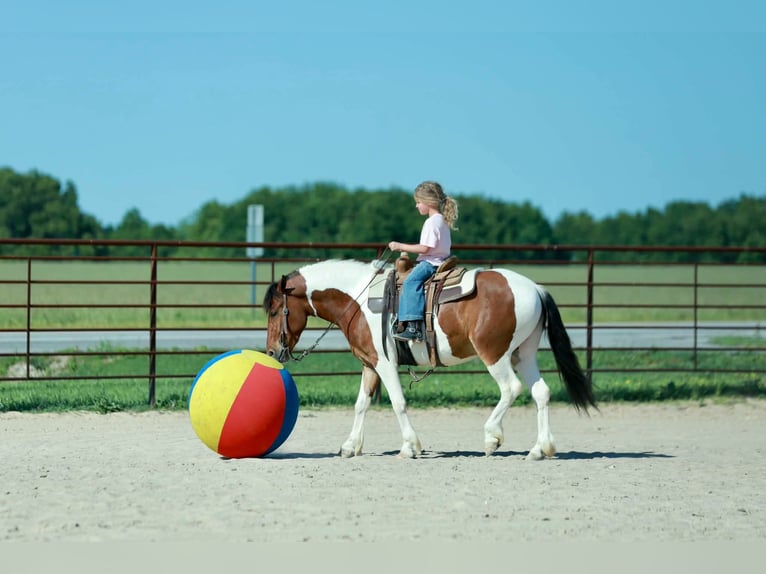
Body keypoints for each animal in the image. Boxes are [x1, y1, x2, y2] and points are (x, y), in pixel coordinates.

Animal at [263, 258, 596, 459]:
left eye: (275, 310)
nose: (272, 352)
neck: (358, 300)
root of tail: (536, 289)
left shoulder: (385, 364)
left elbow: (398, 402)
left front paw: (410, 446)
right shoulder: (369, 364)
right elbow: (361, 404)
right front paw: (349, 446)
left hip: (494, 353)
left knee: (510, 389)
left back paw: (492, 437)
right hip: (523, 353)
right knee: (541, 392)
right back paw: (540, 449)